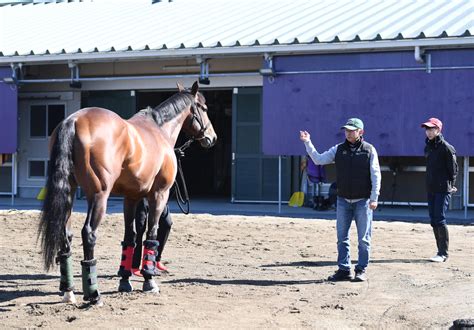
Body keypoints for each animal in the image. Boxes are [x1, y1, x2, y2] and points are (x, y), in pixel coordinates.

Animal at [39, 82, 217, 304]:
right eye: (204, 108)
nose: (212, 137)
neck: (159, 130)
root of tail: (73, 121)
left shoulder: (131, 197)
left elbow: (130, 236)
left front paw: (125, 280)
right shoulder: (159, 194)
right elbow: (151, 234)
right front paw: (149, 281)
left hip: (69, 193)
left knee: (66, 234)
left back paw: (68, 292)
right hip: (99, 196)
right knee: (89, 233)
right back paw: (93, 295)